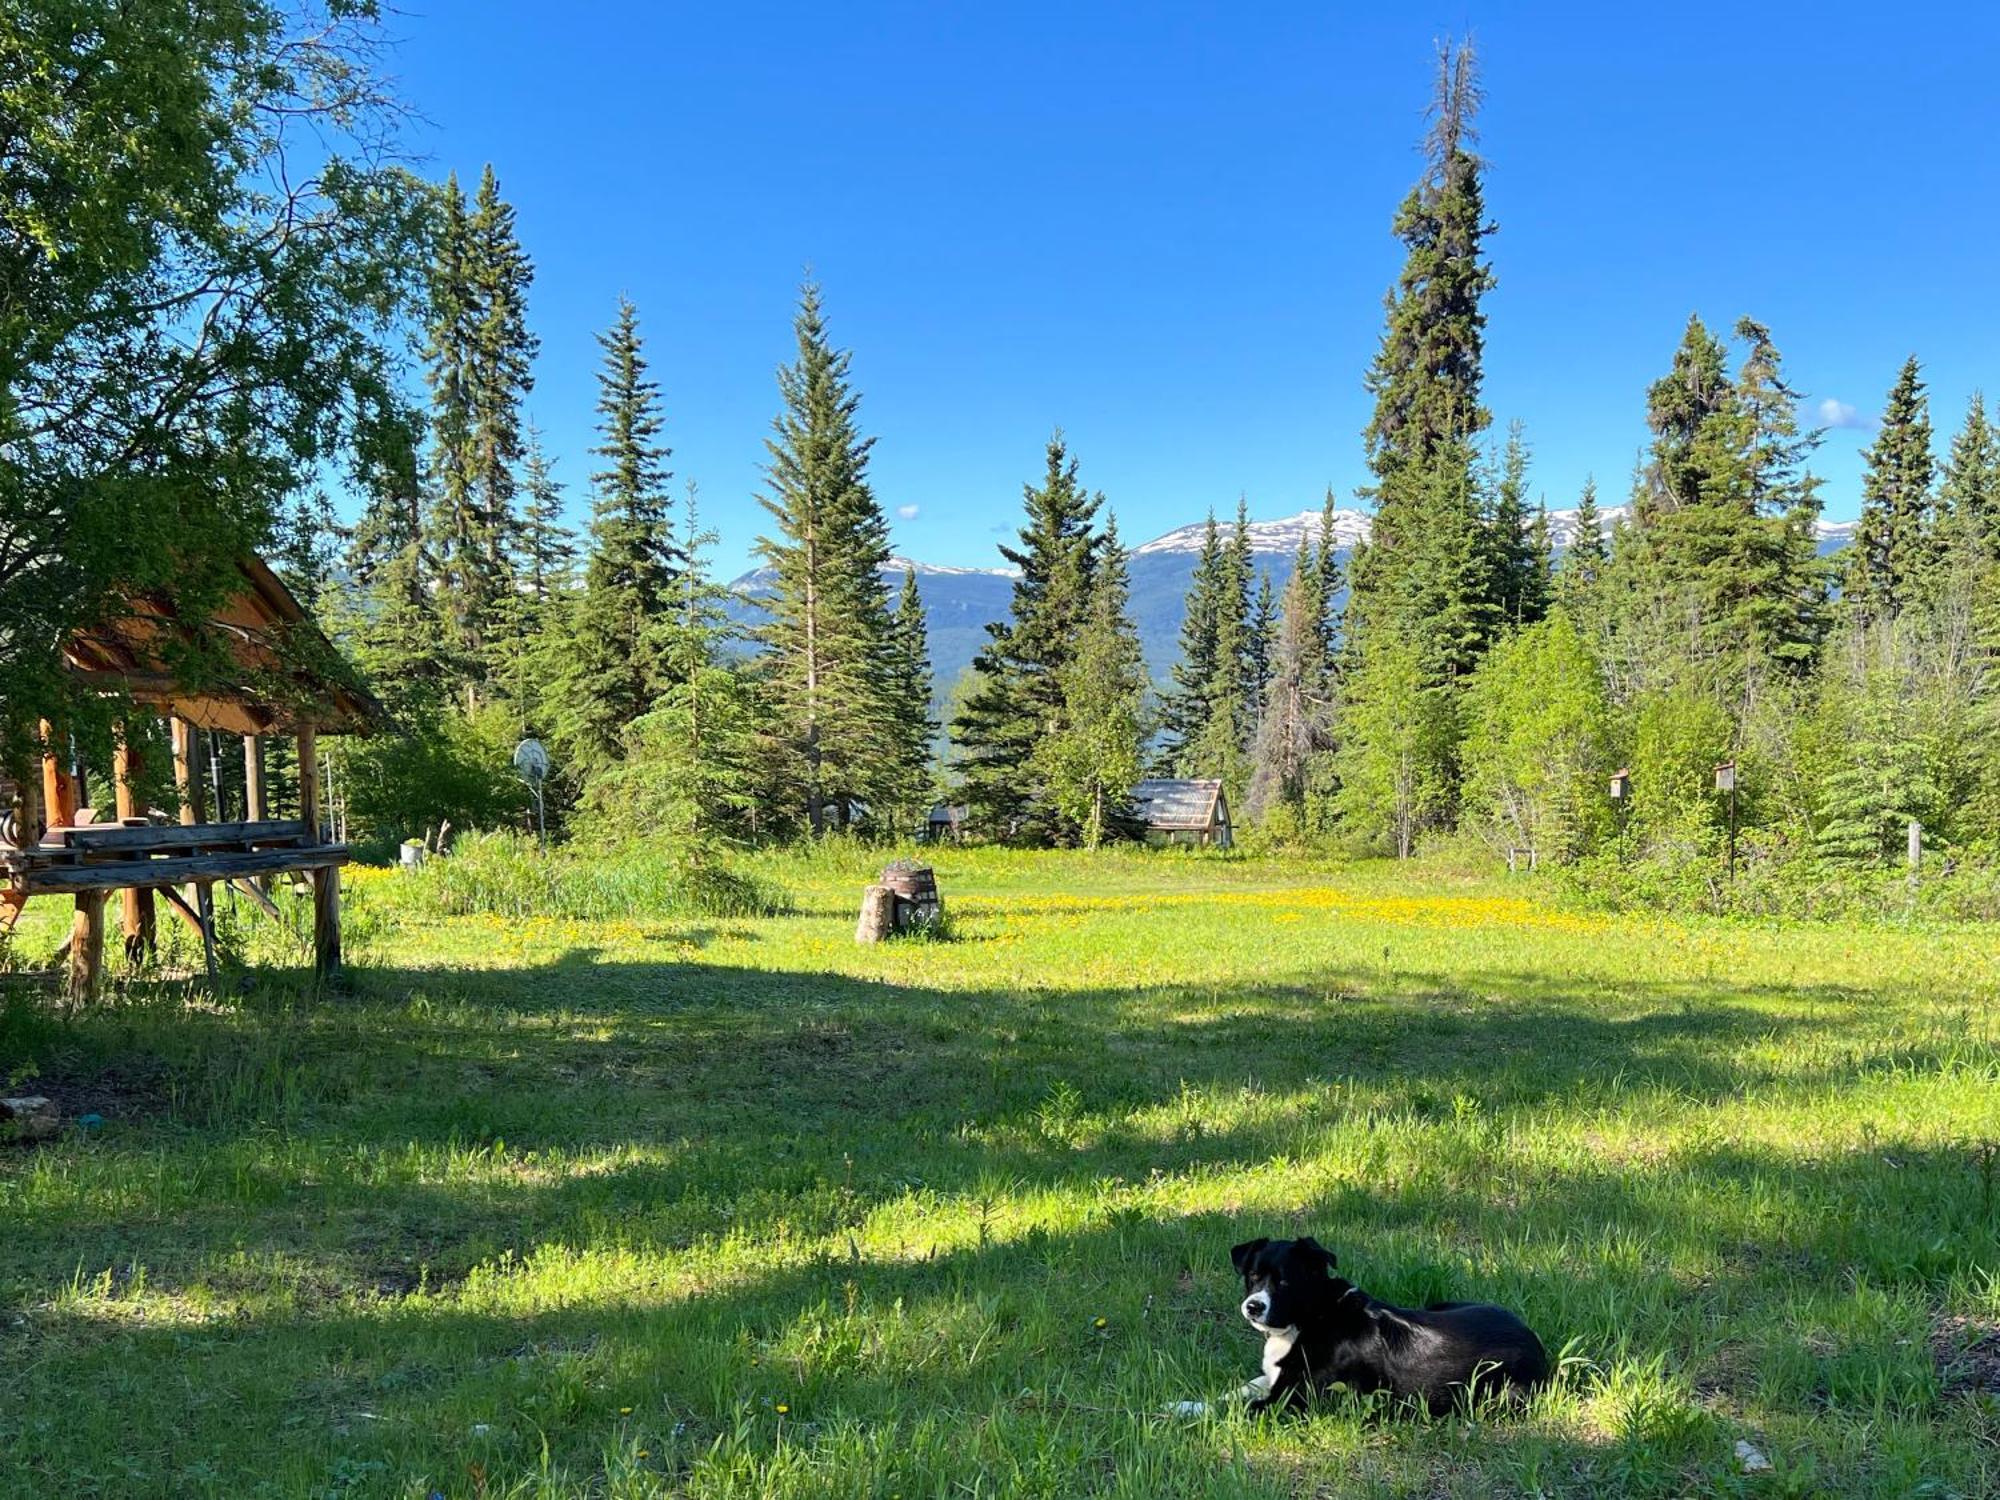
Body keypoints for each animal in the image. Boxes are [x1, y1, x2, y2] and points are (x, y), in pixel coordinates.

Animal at [1208, 1232, 1552, 1424]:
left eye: (1284, 1282)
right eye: (1253, 1276)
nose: (1253, 1306)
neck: (1314, 1316)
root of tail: (1534, 1341)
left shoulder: (1292, 1400)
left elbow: (1238, 1408)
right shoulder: (1274, 1380)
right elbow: (1230, 1393)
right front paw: (1193, 1404)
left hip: (1501, 1397)